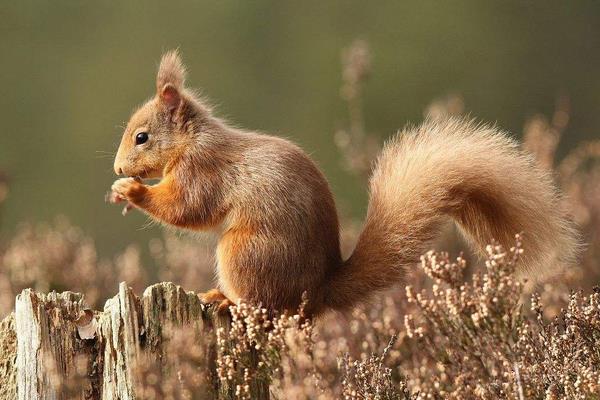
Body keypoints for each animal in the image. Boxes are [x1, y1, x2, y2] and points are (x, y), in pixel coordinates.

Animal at [110, 51, 580, 318]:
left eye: (142, 137)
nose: (117, 170)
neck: (192, 139)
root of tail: (319, 292)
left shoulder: (202, 170)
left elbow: (187, 208)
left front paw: (134, 192)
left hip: (245, 253)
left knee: (262, 303)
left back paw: (226, 300)